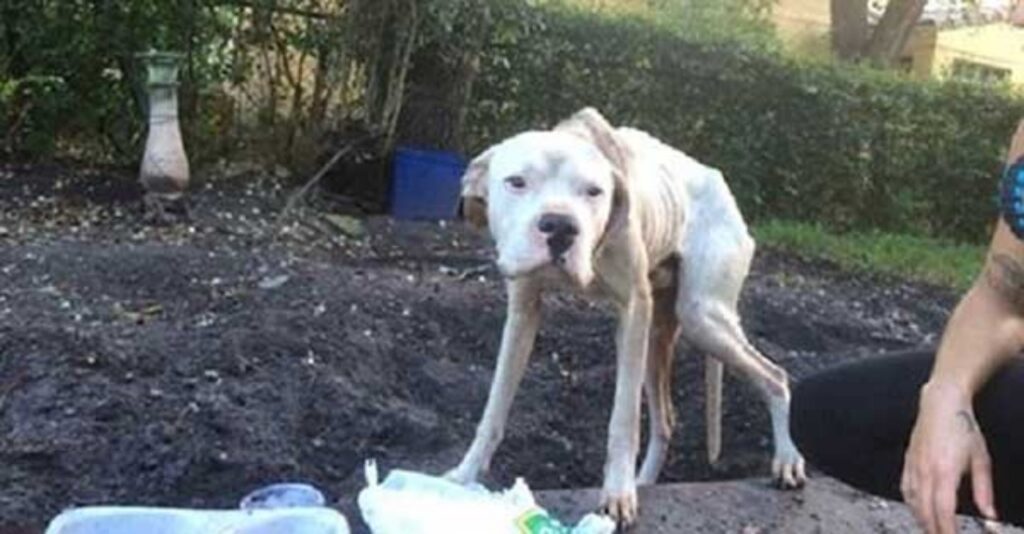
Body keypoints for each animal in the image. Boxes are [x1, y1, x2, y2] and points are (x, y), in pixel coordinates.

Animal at [448, 106, 806, 522]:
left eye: (594, 192)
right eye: (516, 182)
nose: (561, 226)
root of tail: (720, 184)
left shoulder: (633, 311)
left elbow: (624, 419)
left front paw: (618, 492)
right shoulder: (523, 313)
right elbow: (495, 406)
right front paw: (463, 475)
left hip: (702, 318)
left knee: (775, 377)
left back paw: (787, 460)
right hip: (659, 337)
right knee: (666, 420)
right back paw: (646, 481)